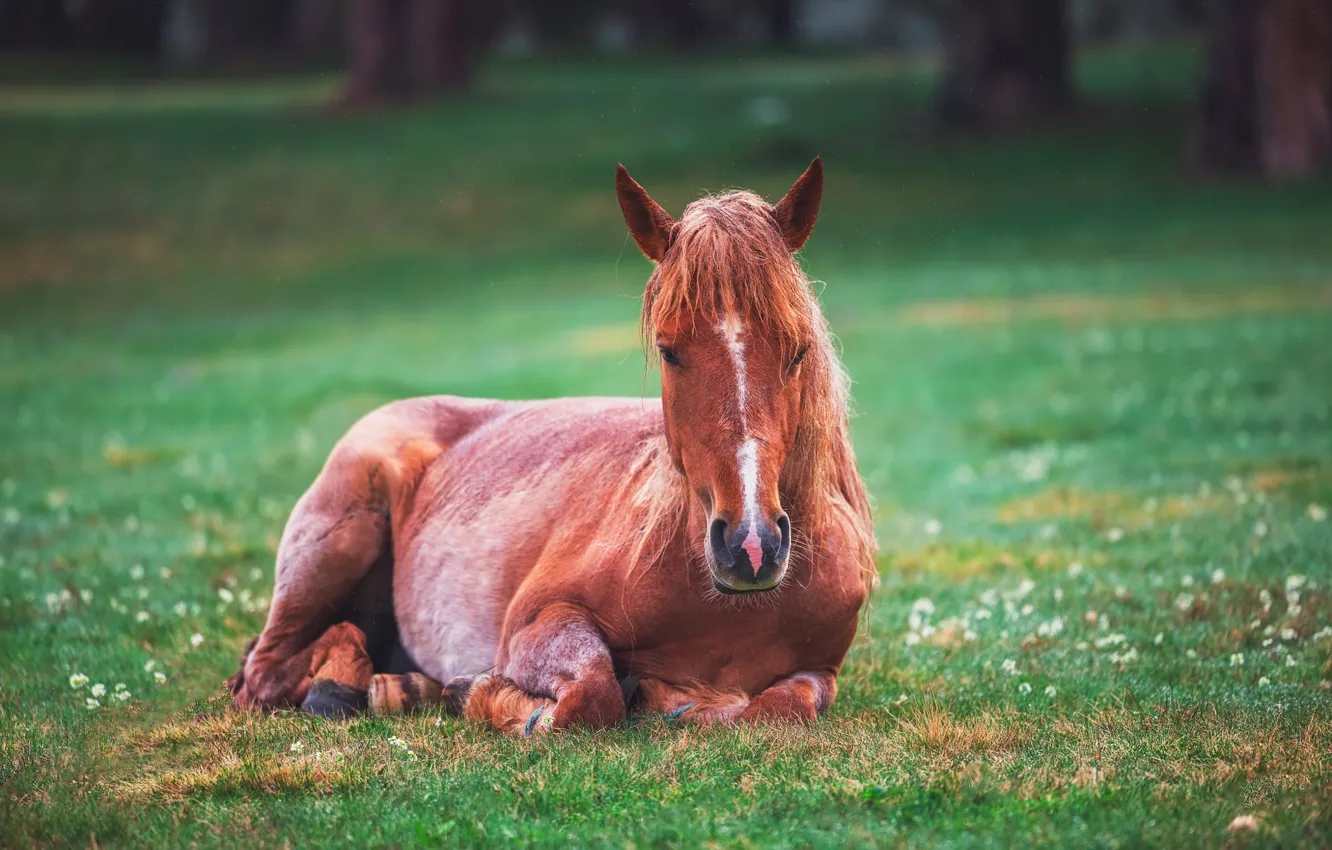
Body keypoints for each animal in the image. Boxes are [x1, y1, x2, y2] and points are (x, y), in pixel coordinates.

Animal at [226, 161, 873, 740]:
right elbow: (592, 693)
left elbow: (781, 709)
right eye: (669, 350)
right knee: (269, 670)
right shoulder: (536, 623)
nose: (751, 546)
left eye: (797, 348)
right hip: (337, 540)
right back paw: (349, 688)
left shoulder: (819, 672)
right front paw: (483, 694)